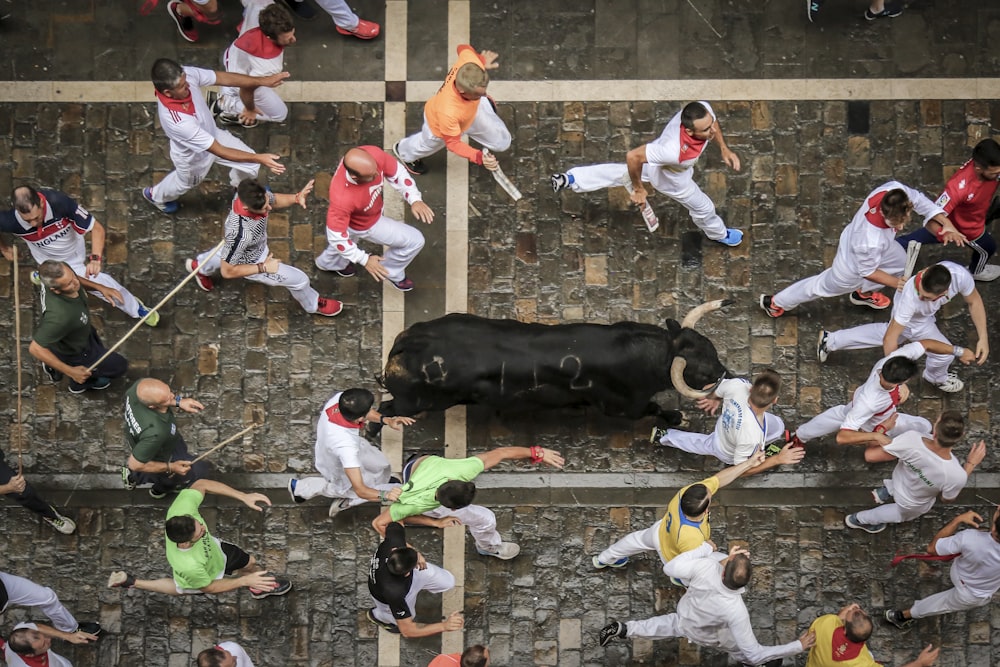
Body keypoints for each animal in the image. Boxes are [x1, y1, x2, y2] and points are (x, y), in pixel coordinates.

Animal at [378, 302, 732, 426]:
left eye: (711, 348)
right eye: (703, 370)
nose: (728, 374)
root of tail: (408, 342)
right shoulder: (622, 408)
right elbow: (654, 409)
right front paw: (677, 417)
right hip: (415, 402)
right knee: (384, 410)